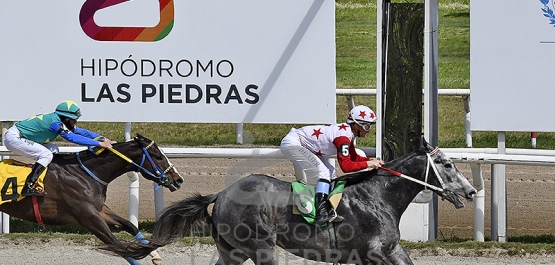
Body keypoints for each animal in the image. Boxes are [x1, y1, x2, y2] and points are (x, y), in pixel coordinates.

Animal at [0, 134, 187, 264]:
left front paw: (155, 255)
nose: (178, 180)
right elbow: (118, 246)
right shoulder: (88, 217)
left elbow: (130, 226)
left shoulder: (99, 210)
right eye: (158, 156)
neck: (84, 173)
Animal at [104, 139, 478, 262]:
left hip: (233, 251)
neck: (378, 197)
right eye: (447, 164)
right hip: (261, 246)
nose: (473, 192)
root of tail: (222, 194)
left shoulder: (389, 250)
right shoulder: (372, 252)